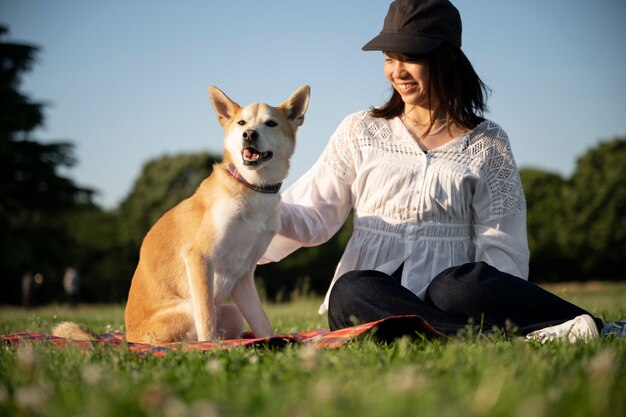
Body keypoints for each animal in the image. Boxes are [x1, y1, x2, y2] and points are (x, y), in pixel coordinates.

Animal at [54, 84, 310, 342]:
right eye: (241, 123)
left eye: (271, 123)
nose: (249, 134)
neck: (252, 187)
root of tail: (127, 337)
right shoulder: (200, 257)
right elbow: (206, 320)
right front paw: (210, 346)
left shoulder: (242, 275)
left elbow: (263, 324)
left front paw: (278, 341)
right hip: (187, 308)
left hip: (232, 313)